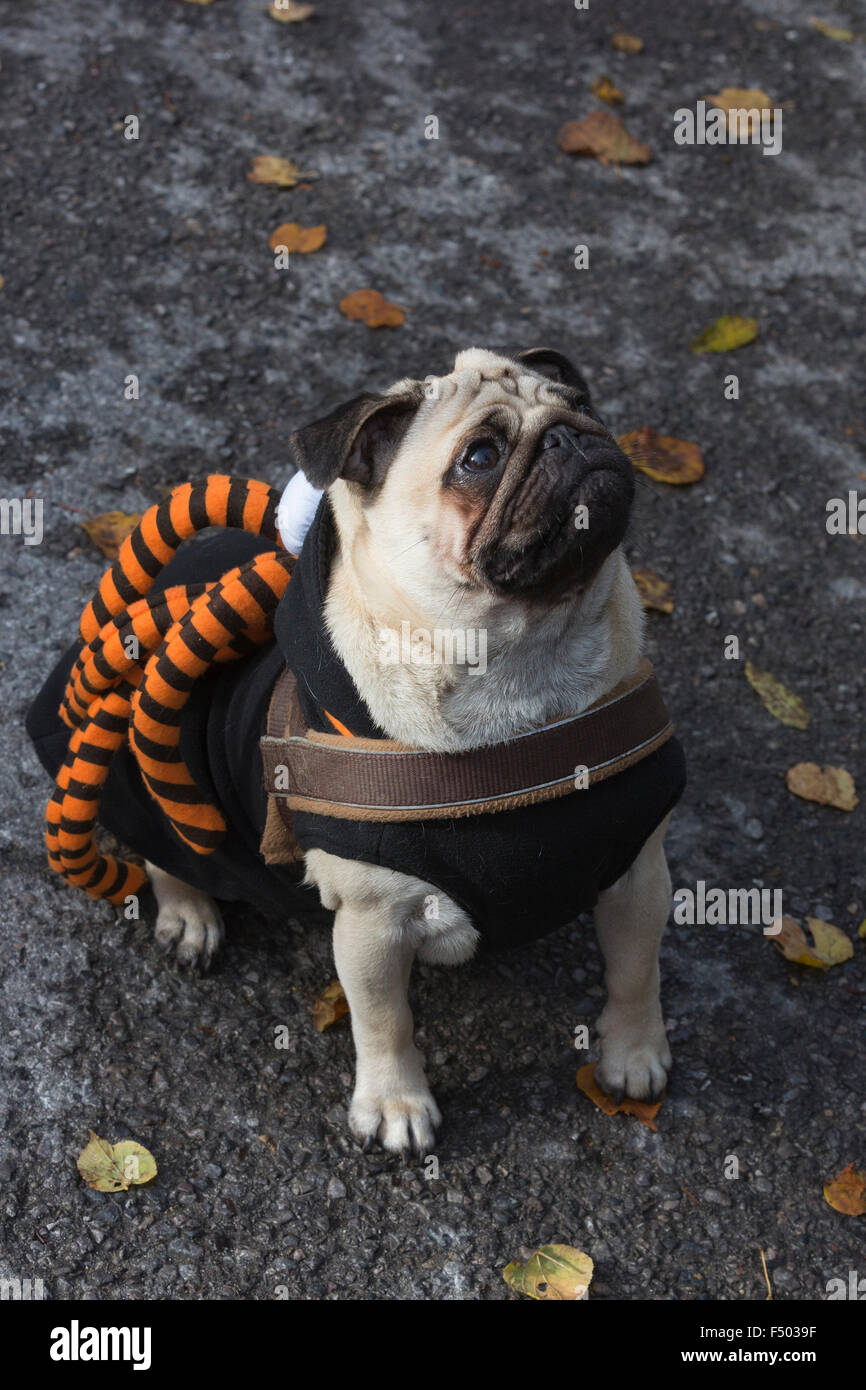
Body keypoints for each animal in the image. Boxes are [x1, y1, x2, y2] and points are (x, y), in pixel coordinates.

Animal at [143, 344, 683, 1150]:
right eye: (480, 457)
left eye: (583, 406)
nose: (568, 436)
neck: (523, 666)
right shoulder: (373, 921)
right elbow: (384, 1020)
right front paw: (396, 1105)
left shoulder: (637, 866)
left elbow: (634, 971)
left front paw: (635, 1053)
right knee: (166, 848)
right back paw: (189, 917)